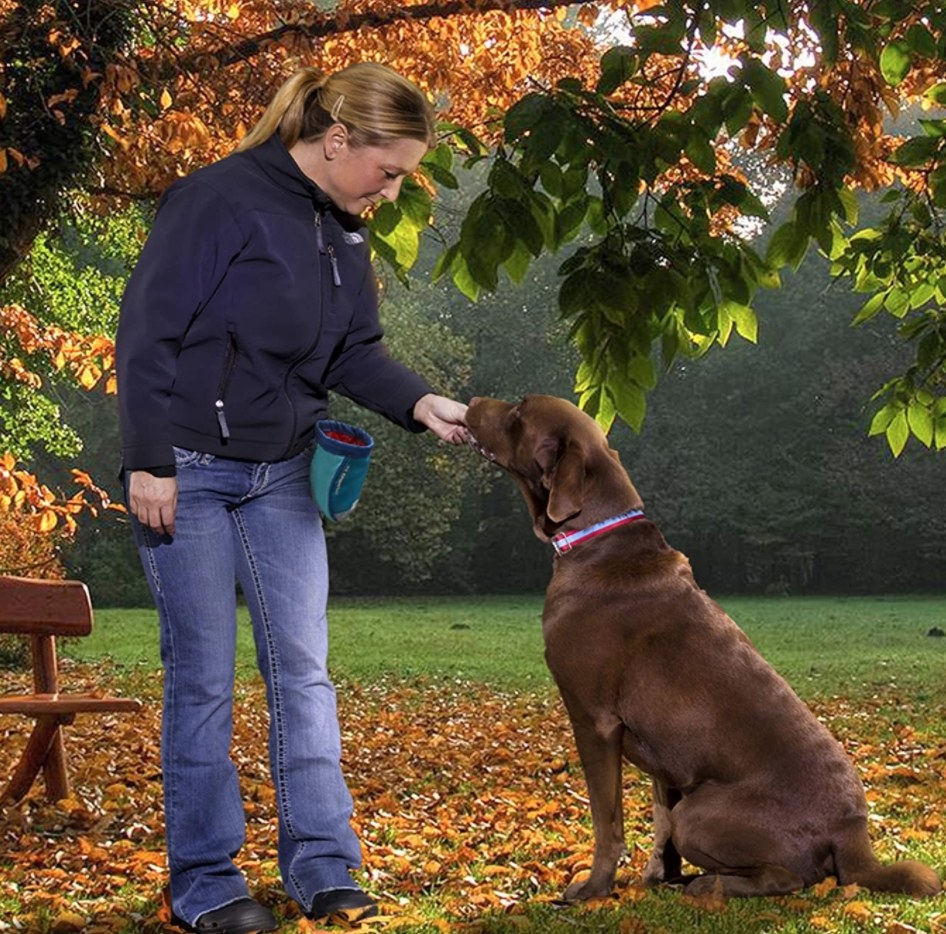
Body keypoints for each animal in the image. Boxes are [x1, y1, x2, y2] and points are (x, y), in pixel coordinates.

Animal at [464, 396, 936, 908]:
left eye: (517, 413)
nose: (472, 402)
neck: (597, 537)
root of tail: (853, 834)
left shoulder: (595, 721)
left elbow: (608, 821)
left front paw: (593, 889)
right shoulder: (662, 756)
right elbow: (659, 819)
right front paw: (659, 876)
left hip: (701, 811)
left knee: (790, 878)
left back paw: (709, 883)